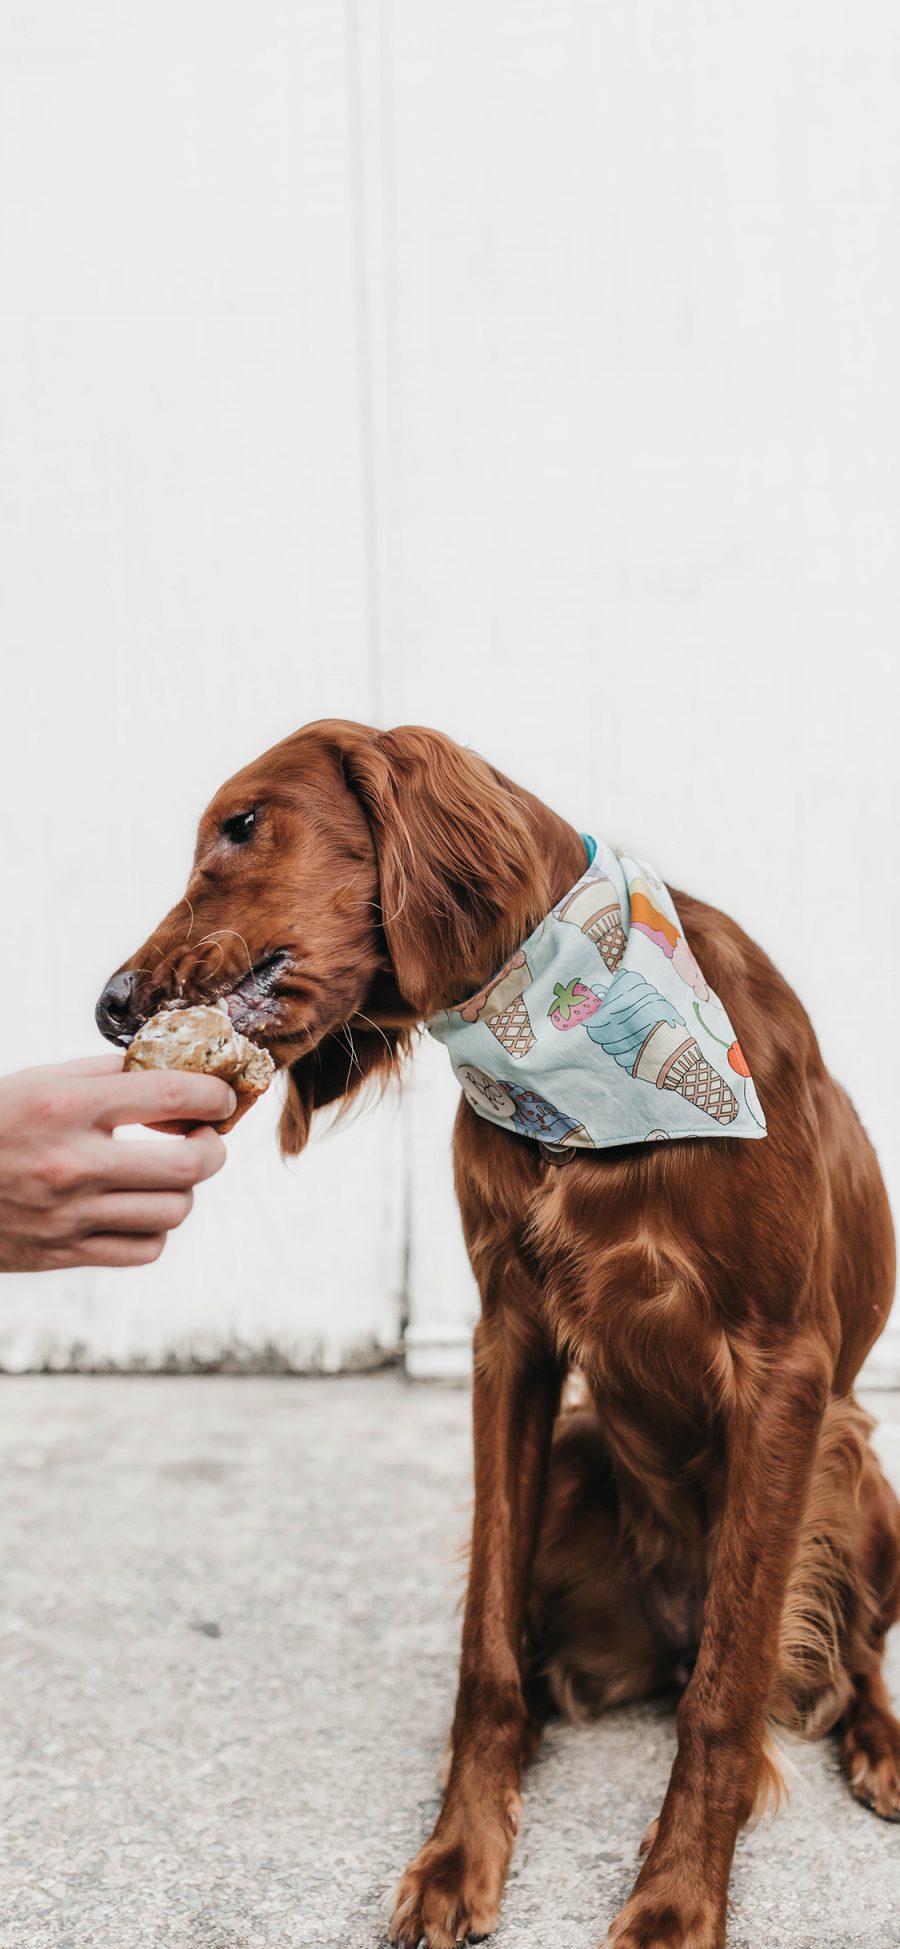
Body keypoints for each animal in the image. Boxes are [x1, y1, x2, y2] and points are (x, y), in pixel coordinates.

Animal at [98, 721, 900, 1949]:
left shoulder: (784, 1369)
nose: (111, 1003)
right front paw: (457, 1851)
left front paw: (676, 1897)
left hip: (854, 1471)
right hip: (576, 1460)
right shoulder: (510, 1338)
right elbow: (487, 1645)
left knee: (846, 1661)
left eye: (242, 825)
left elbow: (726, 1694)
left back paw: (882, 1748)